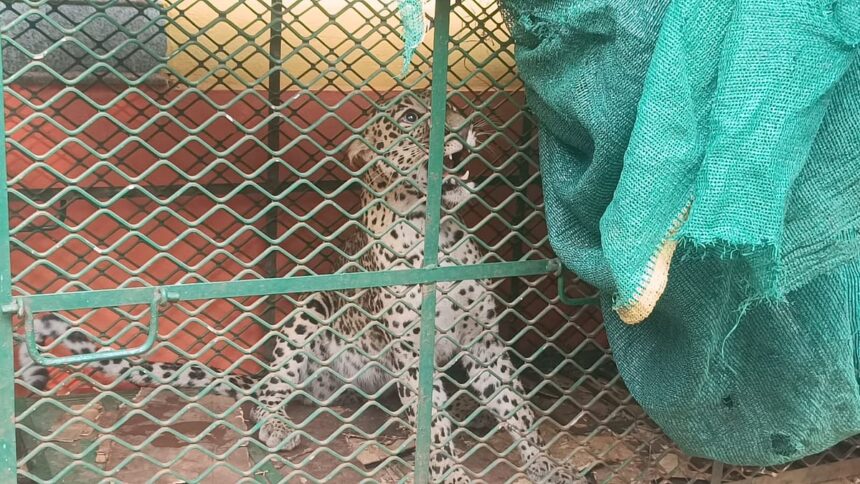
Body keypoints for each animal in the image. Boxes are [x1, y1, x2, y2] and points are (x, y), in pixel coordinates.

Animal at [18, 92, 588, 483]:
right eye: (408, 118)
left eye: (455, 105)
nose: (467, 126)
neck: (438, 232)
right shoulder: (412, 350)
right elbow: (435, 422)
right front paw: (449, 472)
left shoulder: (483, 339)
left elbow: (518, 407)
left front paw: (544, 464)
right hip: (308, 311)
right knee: (270, 392)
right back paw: (274, 425)